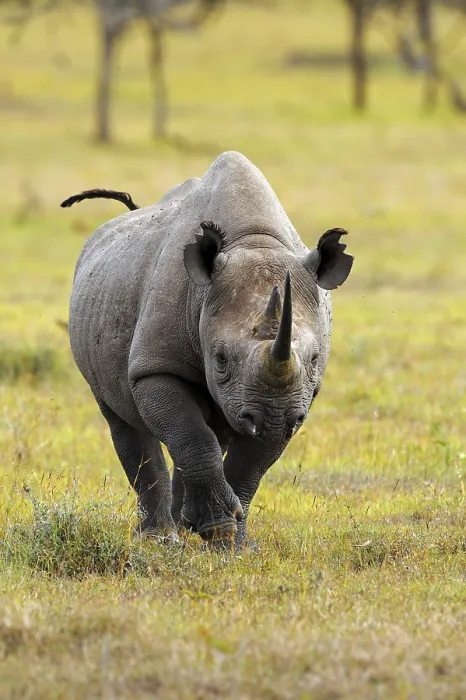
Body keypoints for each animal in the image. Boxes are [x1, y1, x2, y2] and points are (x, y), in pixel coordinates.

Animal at [61, 151, 353, 547]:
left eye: (314, 359)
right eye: (220, 358)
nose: (272, 418)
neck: (253, 243)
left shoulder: (297, 398)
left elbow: (248, 465)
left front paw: (233, 543)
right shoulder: (155, 365)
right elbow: (193, 436)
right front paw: (218, 528)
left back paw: (183, 527)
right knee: (126, 421)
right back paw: (159, 538)